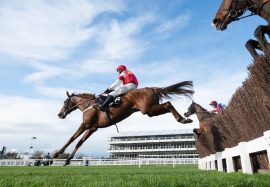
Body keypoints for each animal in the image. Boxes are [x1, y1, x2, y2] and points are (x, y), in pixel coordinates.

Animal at [56, 81, 193, 164]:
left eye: (64, 102)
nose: (60, 114)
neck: (89, 105)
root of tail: (151, 88)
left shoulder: (86, 125)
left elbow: (72, 138)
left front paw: (58, 153)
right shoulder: (92, 128)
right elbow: (79, 142)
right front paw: (68, 159)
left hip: (148, 109)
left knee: (168, 104)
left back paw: (182, 119)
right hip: (150, 110)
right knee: (168, 104)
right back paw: (184, 119)